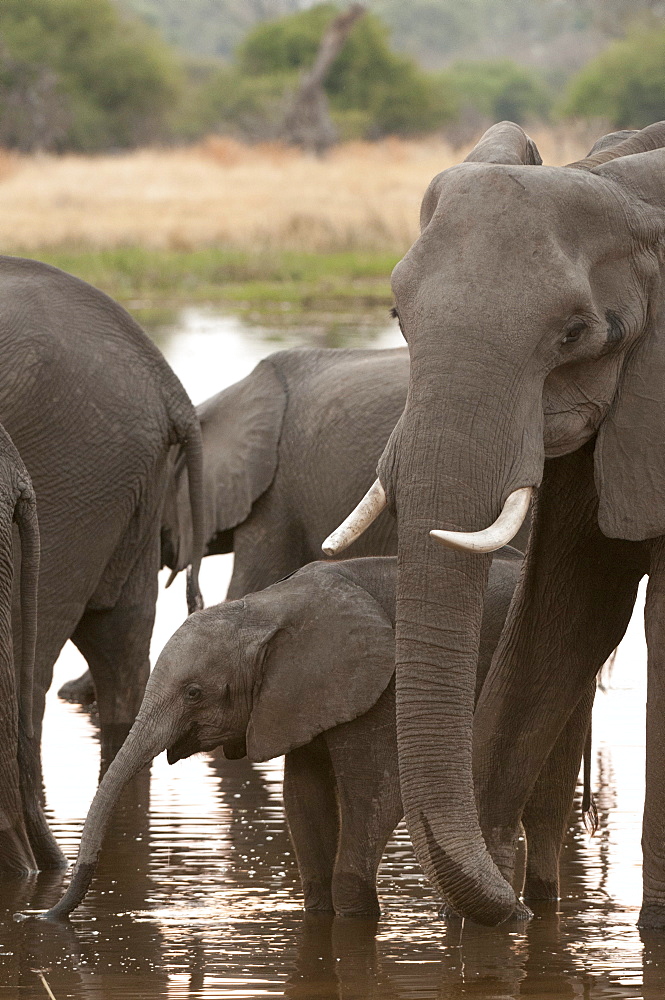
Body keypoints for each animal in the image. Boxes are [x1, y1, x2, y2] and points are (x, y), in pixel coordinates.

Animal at [42, 552, 524, 916]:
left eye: (194, 693)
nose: (45, 914)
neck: (266, 608)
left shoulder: (382, 688)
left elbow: (374, 797)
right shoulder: (296, 698)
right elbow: (303, 800)